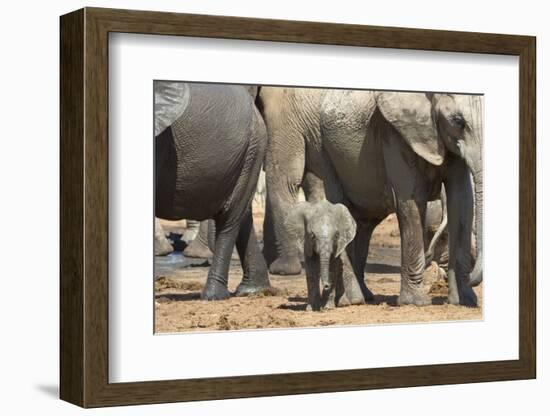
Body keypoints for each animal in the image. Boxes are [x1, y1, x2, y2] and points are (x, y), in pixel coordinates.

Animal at [156, 82, 270, 300]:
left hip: (252, 149)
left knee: (229, 219)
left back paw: (213, 296)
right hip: (249, 153)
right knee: (242, 215)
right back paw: (253, 290)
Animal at [322, 91, 486, 306]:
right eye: (458, 121)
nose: (473, 277)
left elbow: (462, 200)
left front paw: (464, 301)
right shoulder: (395, 132)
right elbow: (412, 200)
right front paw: (416, 302)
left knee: (362, 223)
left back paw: (365, 296)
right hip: (325, 154)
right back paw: (350, 300)